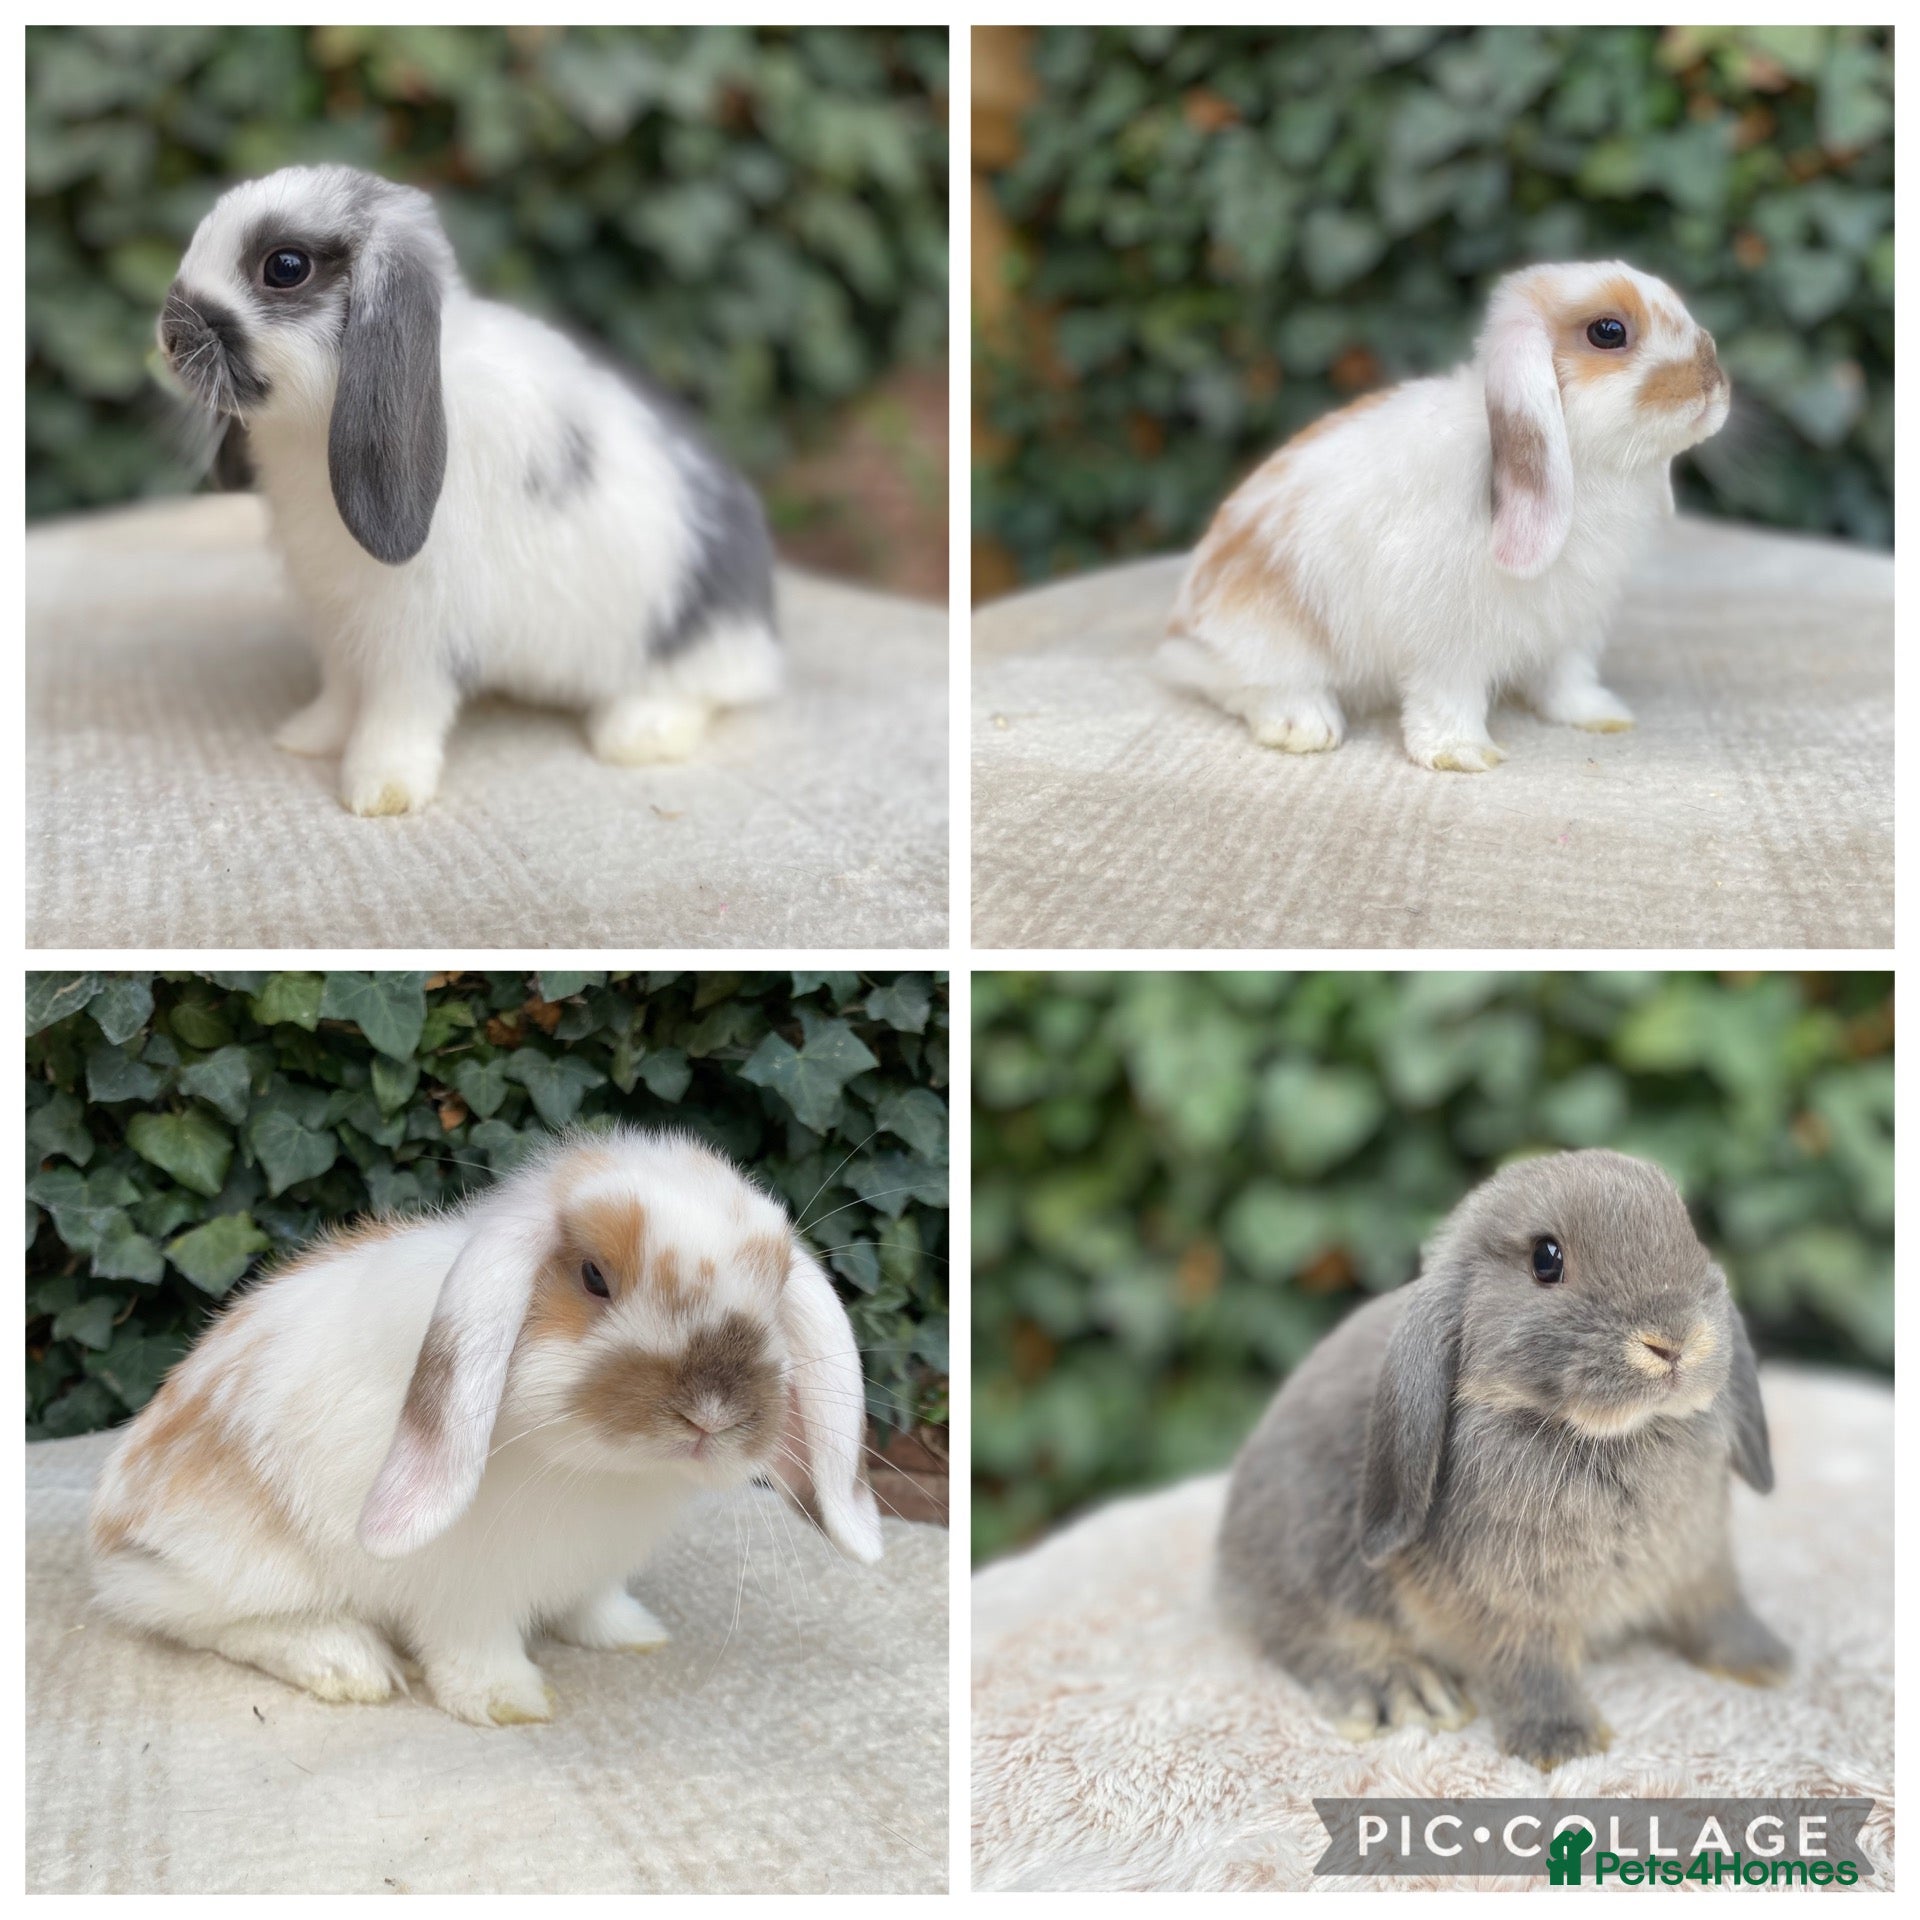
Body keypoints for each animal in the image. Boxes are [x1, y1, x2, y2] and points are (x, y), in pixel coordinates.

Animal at [88, 1128, 883, 1726]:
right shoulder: (464, 1589)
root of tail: (114, 1525)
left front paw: (631, 1635)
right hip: (239, 1562)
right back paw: (347, 1663)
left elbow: (595, 1602)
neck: (605, 1473)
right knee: (200, 1617)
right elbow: (474, 1648)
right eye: (594, 1276)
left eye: (775, 1288)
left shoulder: (595, 1567)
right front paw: (508, 1702)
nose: (711, 1414)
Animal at [157, 165, 780, 816]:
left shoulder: (417, 634)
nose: (169, 337)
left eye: (284, 267)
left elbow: (397, 711)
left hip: (688, 643)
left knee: (705, 690)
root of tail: (760, 613)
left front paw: (379, 789)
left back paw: (636, 734)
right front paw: (306, 737)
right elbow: (342, 689)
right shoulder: (339, 618)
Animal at [1160, 261, 1730, 772]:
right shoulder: (1446, 636)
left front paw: (1598, 716)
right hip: (1269, 637)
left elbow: (1567, 678)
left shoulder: (1572, 623)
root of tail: (1186, 627)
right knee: (1256, 688)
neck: (1583, 462)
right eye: (1608, 332)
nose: (1713, 383)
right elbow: (1447, 695)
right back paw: (1303, 726)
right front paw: (1461, 754)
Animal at [1215, 1149, 1787, 1771]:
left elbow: (1716, 1609)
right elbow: (1531, 1668)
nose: (1674, 1341)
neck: (1611, 1435)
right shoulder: (1509, 1604)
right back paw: (1402, 1690)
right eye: (1546, 1259)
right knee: (1305, 1635)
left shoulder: (1700, 1560)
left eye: (1688, 1232)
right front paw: (1561, 1745)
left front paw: (1764, 1660)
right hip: (1309, 1561)